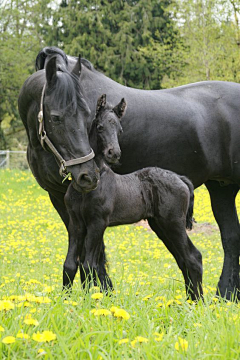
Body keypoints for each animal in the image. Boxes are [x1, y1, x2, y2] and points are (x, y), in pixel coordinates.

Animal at [63, 94, 202, 300]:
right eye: (100, 127)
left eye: (119, 130)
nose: (114, 153)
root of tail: (181, 178)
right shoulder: (76, 224)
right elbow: (71, 264)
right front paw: (65, 301)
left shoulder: (98, 223)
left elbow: (89, 265)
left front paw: (90, 301)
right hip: (160, 225)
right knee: (183, 259)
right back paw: (189, 301)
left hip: (173, 223)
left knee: (193, 257)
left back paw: (198, 302)